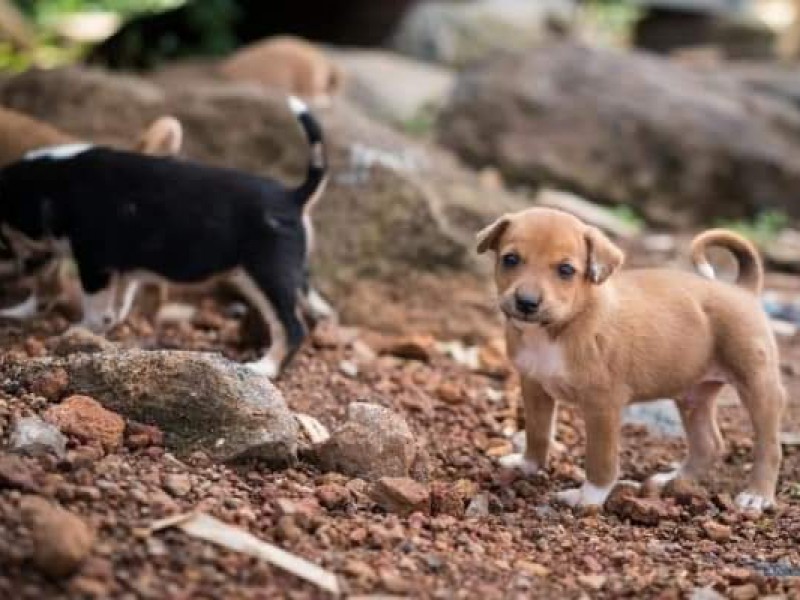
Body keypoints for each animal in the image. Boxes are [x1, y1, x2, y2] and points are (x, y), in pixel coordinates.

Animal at [0, 96, 332, 376]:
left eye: (5, 235)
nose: (21, 269)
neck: (55, 183)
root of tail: (294, 196)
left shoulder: (95, 264)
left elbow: (94, 307)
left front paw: (76, 331)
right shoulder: (121, 269)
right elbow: (116, 308)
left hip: (266, 273)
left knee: (292, 328)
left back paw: (264, 368)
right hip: (280, 272)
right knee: (310, 307)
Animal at [478, 209, 784, 512]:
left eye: (566, 270)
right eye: (510, 259)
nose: (526, 302)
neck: (561, 328)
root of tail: (743, 290)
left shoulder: (602, 404)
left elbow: (600, 460)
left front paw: (588, 497)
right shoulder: (534, 386)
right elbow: (538, 432)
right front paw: (527, 465)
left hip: (758, 386)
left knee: (769, 446)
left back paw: (757, 495)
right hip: (693, 395)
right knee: (708, 444)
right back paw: (672, 480)